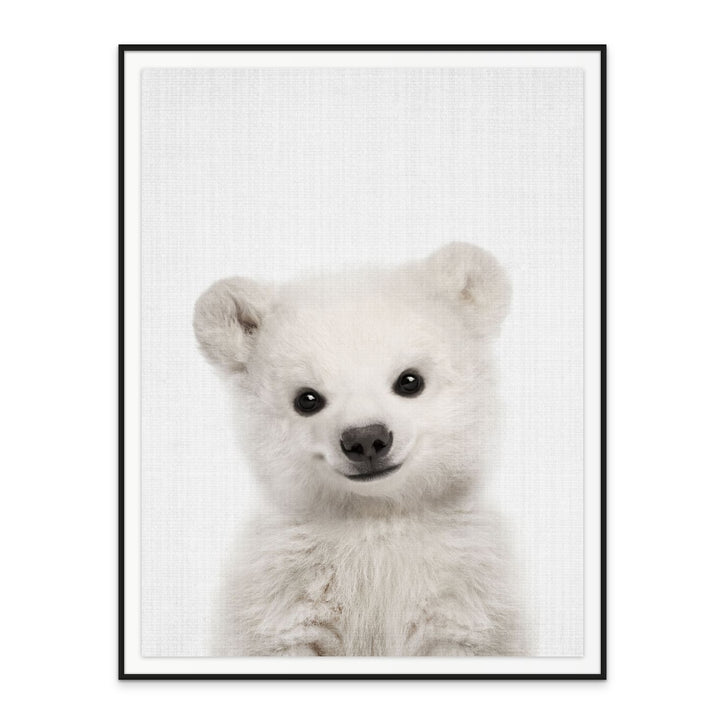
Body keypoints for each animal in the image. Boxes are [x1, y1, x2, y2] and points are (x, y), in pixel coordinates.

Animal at [193, 242, 524, 656]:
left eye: (410, 380)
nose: (366, 439)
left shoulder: (463, 592)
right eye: (307, 399)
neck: (374, 518)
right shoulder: (284, 592)